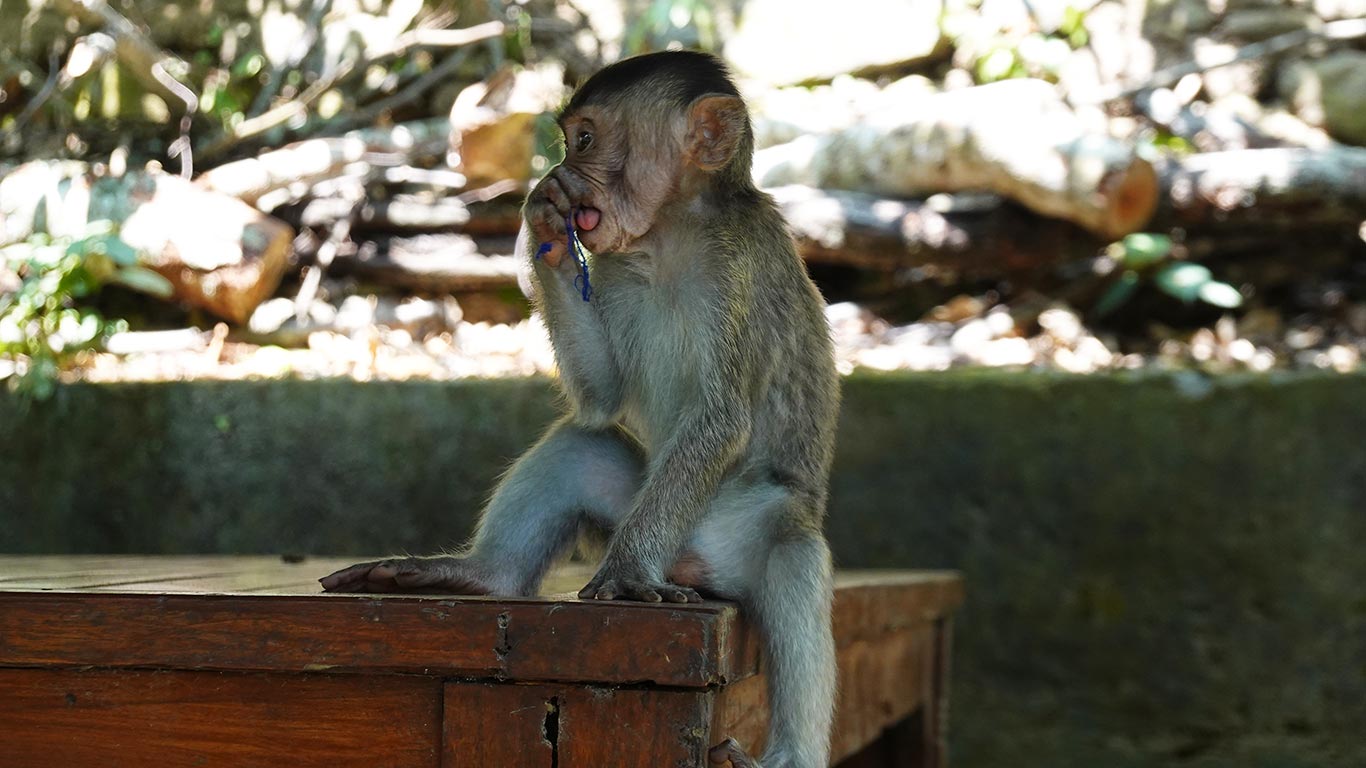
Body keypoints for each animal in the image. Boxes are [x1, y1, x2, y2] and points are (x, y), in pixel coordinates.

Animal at [320, 50, 840, 768]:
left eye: (586, 140)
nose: (563, 176)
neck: (670, 236)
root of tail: (693, 560)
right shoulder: (618, 268)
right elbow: (599, 399)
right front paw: (546, 225)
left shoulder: (738, 265)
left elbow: (721, 419)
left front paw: (624, 573)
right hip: (638, 508)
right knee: (581, 445)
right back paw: (478, 575)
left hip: (740, 529)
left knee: (794, 559)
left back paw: (789, 752)